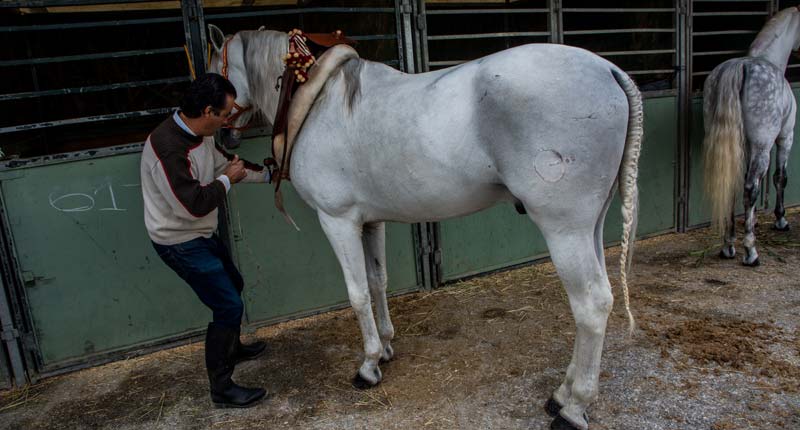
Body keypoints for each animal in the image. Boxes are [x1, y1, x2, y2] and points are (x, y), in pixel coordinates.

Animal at [208, 24, 644, 430]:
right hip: (589, 225)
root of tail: (608, 69)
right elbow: (377, 282)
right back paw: (562, 394)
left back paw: (573, 408)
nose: (222, 138)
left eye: (216, 72)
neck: (319, 100)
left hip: (564, 230)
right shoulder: (371, 222)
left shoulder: (338, 220)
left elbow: (357, 293)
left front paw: (368, 366)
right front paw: (385, 347)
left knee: (591, 305)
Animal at [704, 6, 796, 266]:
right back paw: (750, 252)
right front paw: (781, 220)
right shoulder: (785, 138)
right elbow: (780, 177)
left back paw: (728, 245)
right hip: (763, 146)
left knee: (734, 186)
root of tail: (741, 69)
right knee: (749, 189)